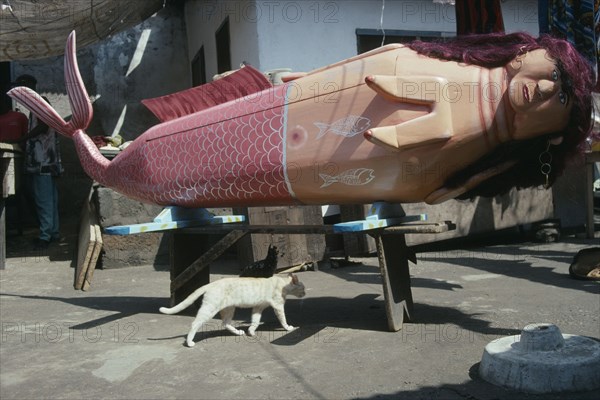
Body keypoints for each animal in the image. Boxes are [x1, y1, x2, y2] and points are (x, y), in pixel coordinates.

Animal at [159, 274, 304, 346]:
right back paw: (189, 342)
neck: (283, 284)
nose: (305, 294)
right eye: (302, 288)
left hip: (229, 309)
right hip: (210, 309)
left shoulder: (258, 307)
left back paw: (238, 332)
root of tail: (211, 283)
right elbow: (283, 319)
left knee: (225, 323)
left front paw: (251, 332)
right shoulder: (278, 306)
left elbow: (255, 322)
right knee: (195, 323)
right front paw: (288, 328)